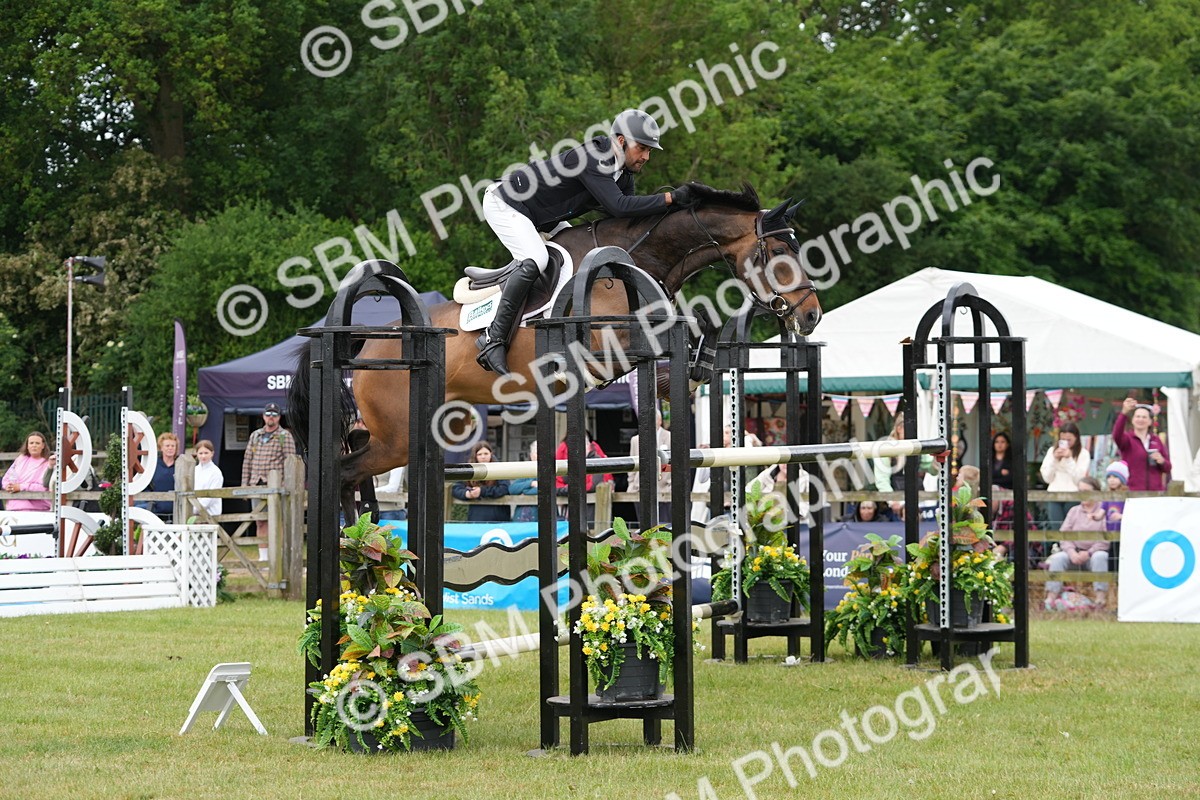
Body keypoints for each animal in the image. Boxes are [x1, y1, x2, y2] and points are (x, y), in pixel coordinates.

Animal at [288, 181, 822, 514]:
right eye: (780, 252)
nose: (811, 314)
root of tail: (373, 343)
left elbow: (696, 327)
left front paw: (693, 369)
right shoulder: (607, 341)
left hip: (420, 428)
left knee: (354, 469)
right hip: (397, 437)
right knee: (342, 472)